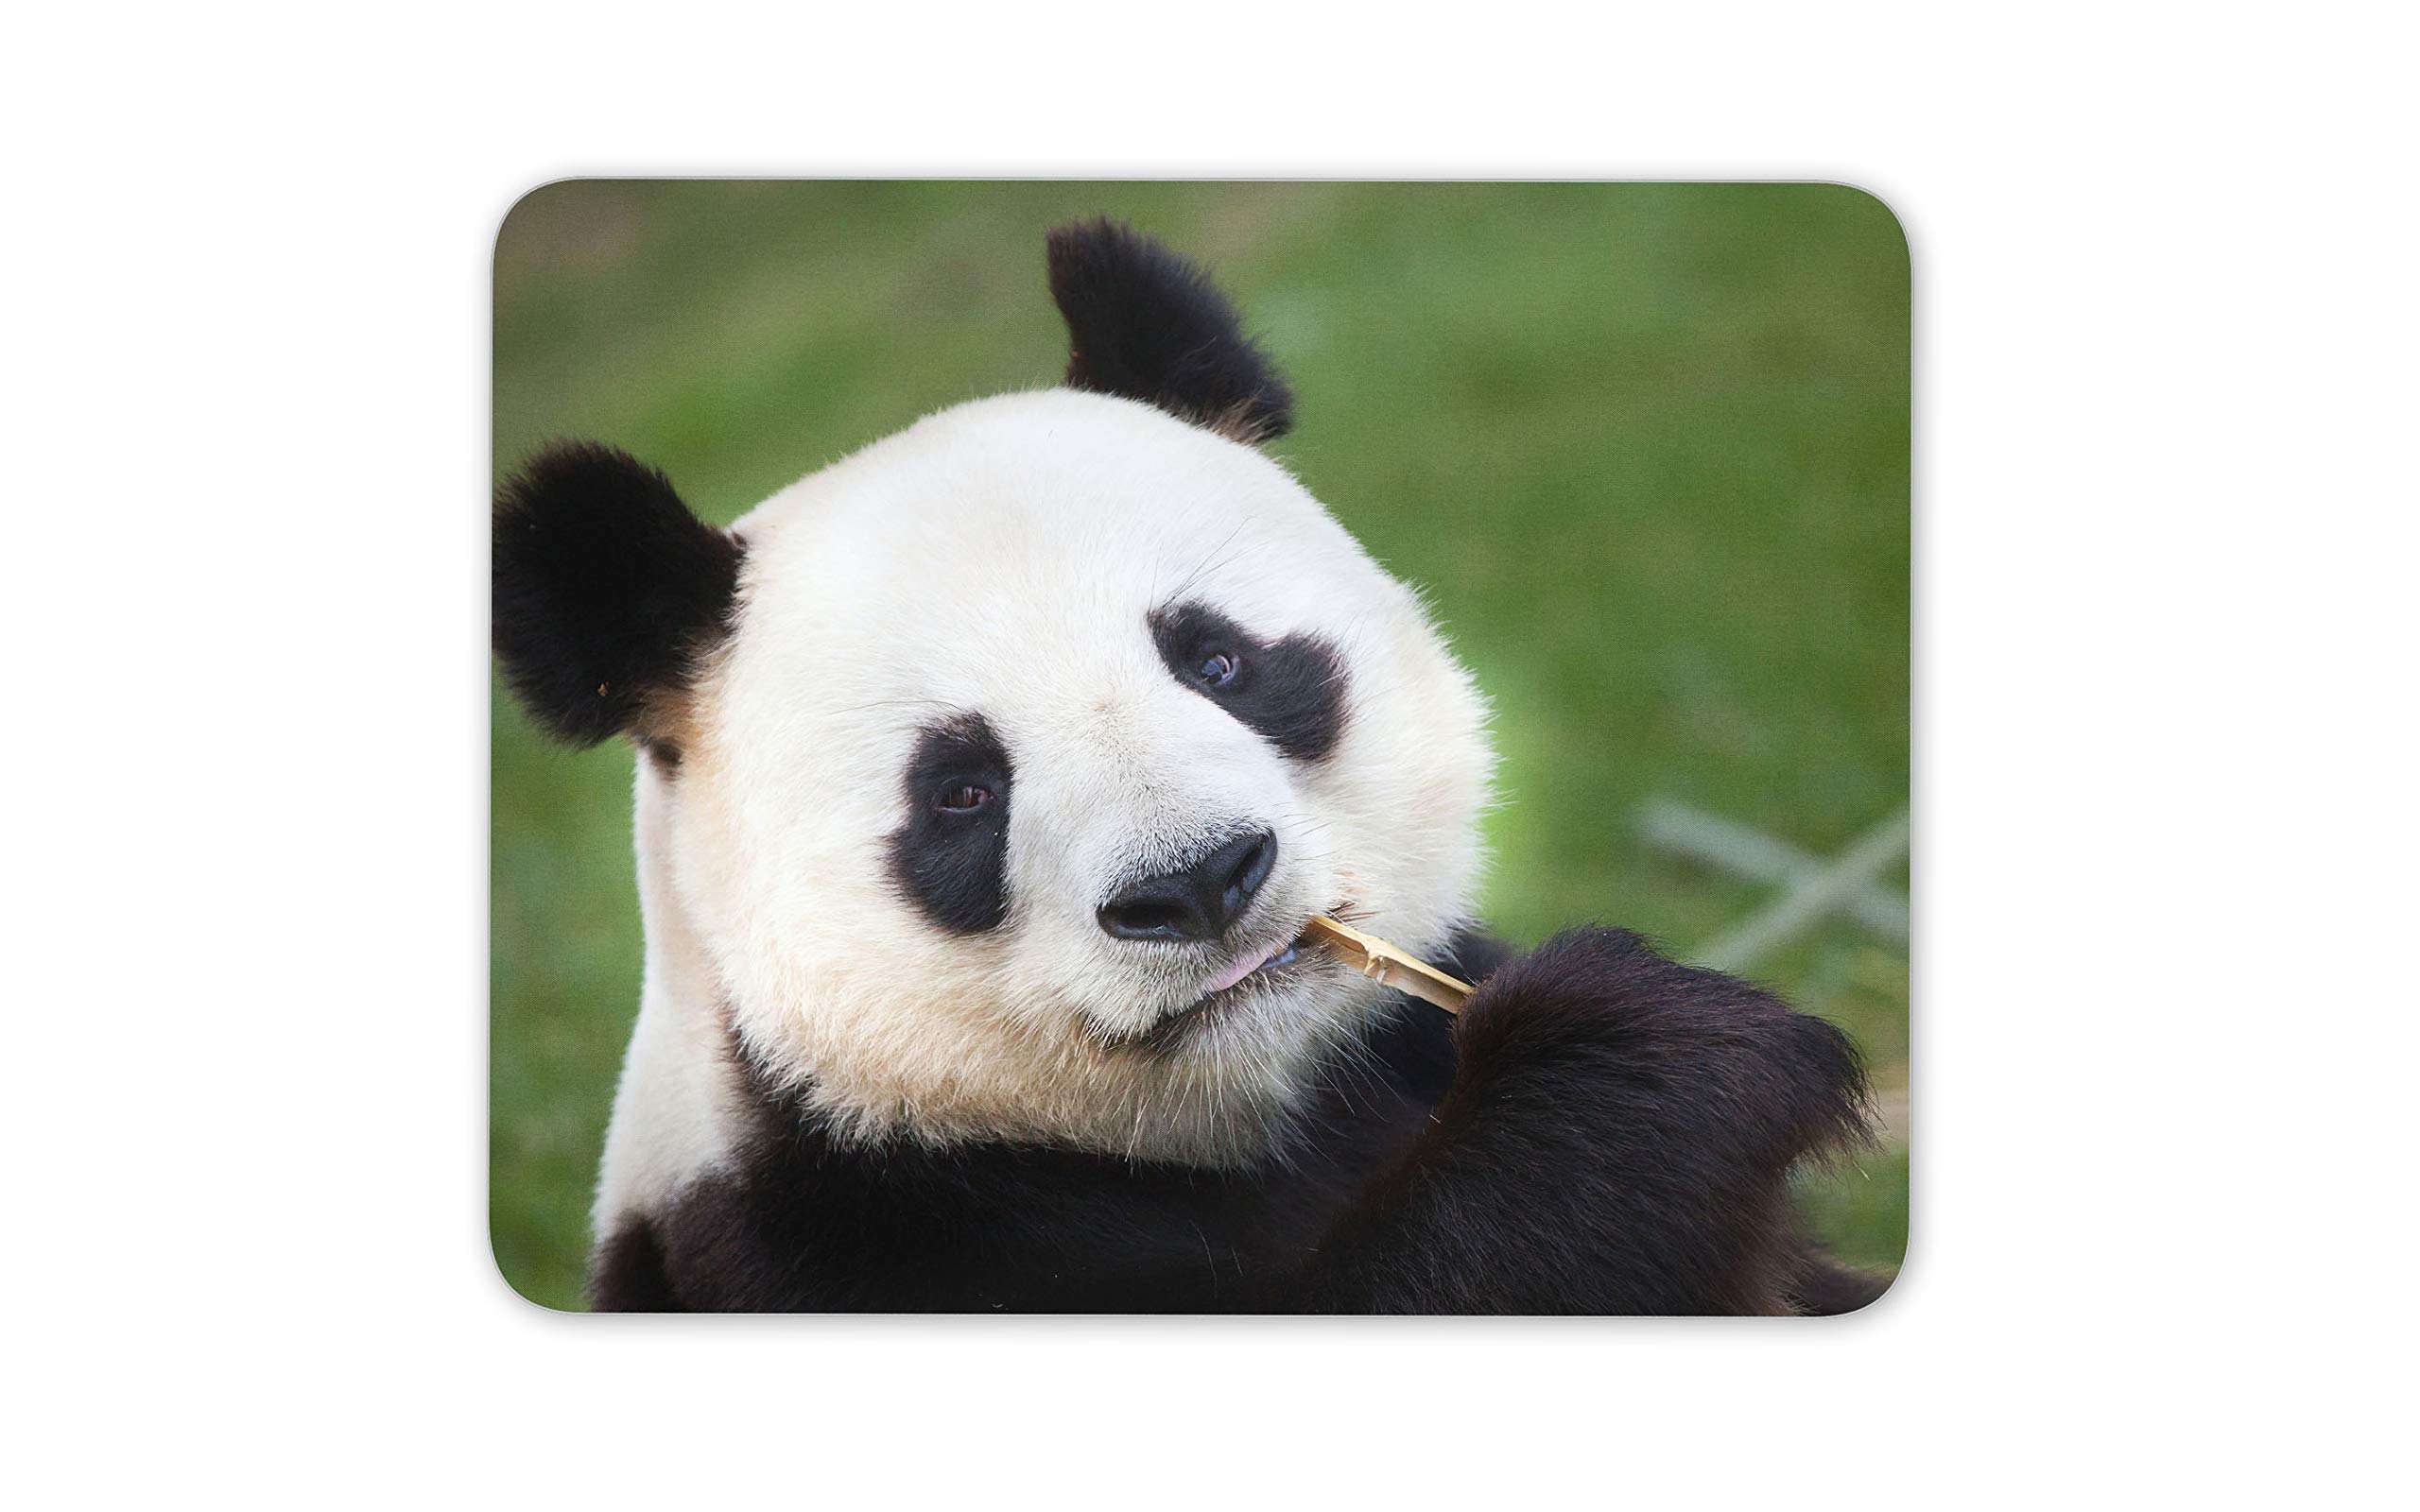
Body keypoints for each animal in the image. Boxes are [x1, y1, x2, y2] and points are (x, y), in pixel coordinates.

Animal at [493, 219, 1885, 1314]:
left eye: (1217, 661)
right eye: (962, 792)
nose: (1202, 881)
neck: (1256, 1124)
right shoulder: (826, 1245)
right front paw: (1644, 1060)